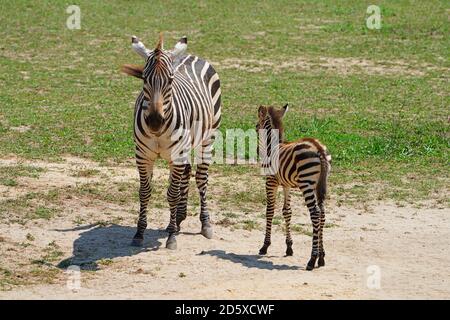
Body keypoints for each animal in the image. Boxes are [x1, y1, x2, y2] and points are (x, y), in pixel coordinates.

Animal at [256, 104, 330, 270]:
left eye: (257, 127)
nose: (257, 151)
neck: (273, 146)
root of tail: (318, 148)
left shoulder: (270, 181)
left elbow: (270, 211)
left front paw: (265, 246)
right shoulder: (286, 185)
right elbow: (287, 211)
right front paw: (289, 247)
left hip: (306, 183)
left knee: (315, 213)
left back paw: (312, 259)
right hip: (319, 184)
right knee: (322, 213)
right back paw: (321, 257)